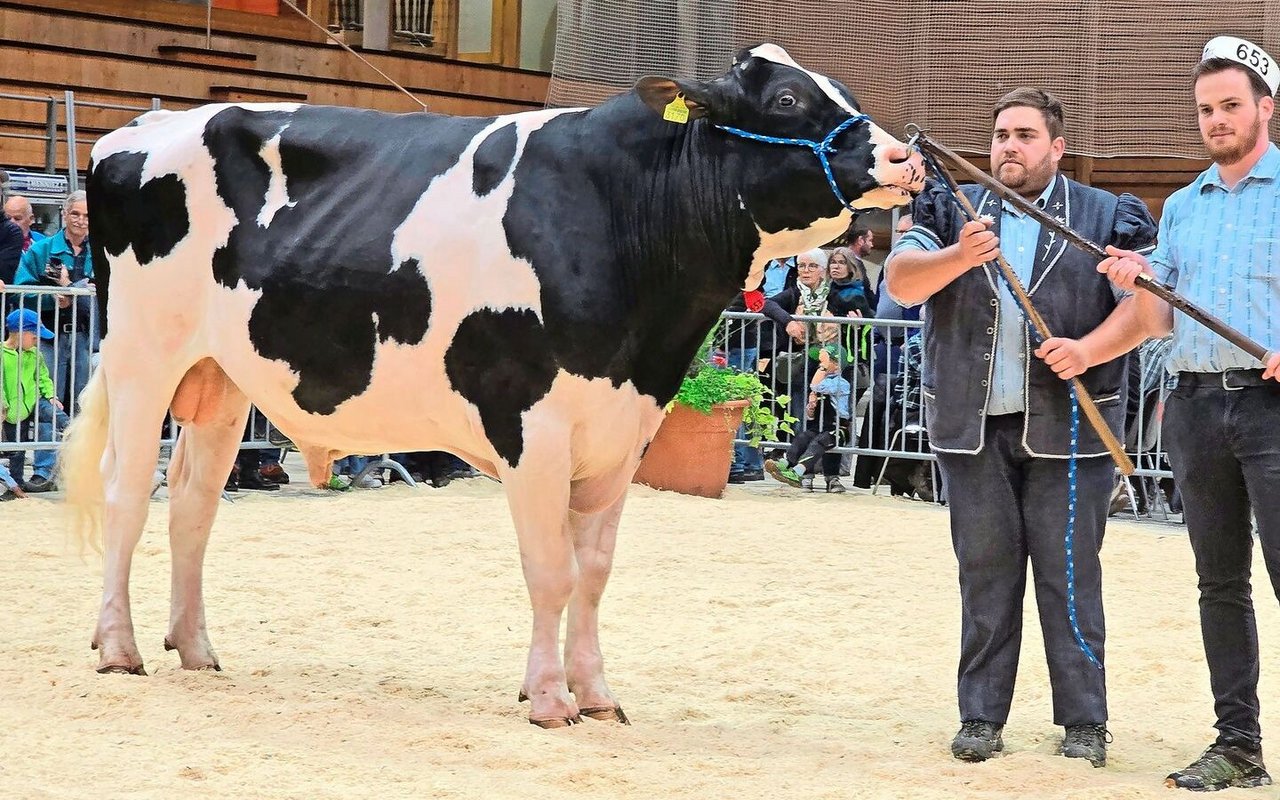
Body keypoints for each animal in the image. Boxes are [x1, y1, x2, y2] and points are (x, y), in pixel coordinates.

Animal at [62, 46, 921, 727]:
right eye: (787, 101)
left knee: (194, 504)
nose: (907, 157)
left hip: (219, 376)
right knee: (126, 491)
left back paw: (195, 648)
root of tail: (133, 133)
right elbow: (551, 570)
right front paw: (547, 699)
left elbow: (594, 574)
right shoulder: (529, 424)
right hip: (142, 357)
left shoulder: (623, 431)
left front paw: (597, 694)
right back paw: (118, 647)